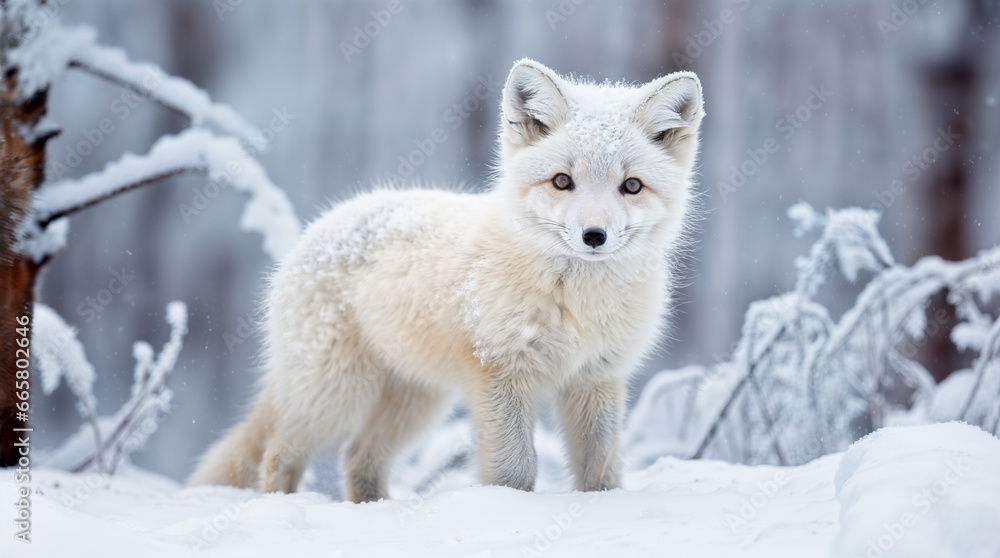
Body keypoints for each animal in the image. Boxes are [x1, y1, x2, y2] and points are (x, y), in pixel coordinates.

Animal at [188, 59, 704, 502]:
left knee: (358, 460)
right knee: (279, 453)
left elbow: (601, 471)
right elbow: (514, 470)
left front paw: (598, 506)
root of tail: (317, 227)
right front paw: (509, 509)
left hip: (415, 403)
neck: (574, 304)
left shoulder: (596, 378)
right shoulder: (501, 374)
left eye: (631, 186)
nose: (594, 236)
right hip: (335, 397)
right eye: (562, 181)